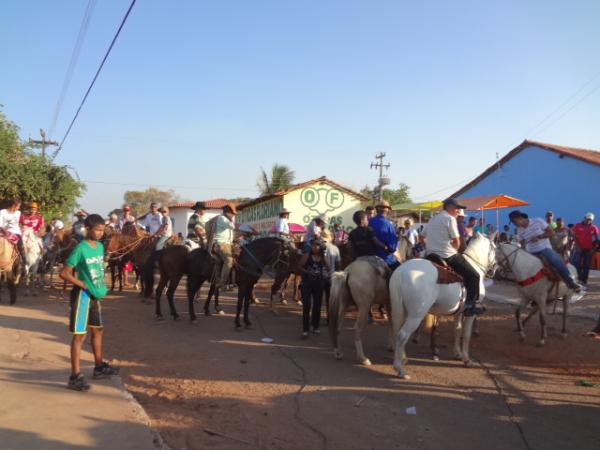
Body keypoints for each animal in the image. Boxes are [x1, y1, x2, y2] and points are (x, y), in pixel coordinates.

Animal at [390, 234, 496, 378]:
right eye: (495, 248)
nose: (494, 269)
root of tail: (401, 272)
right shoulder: (471, 313)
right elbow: (466, 335)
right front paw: (467, 359)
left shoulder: (460, 312)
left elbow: (457, 330)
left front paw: (457, 354)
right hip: (416, 315)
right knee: (402, 335)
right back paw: (400, 369)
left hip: (402, 310)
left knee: (397, 332)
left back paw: (403, 358)